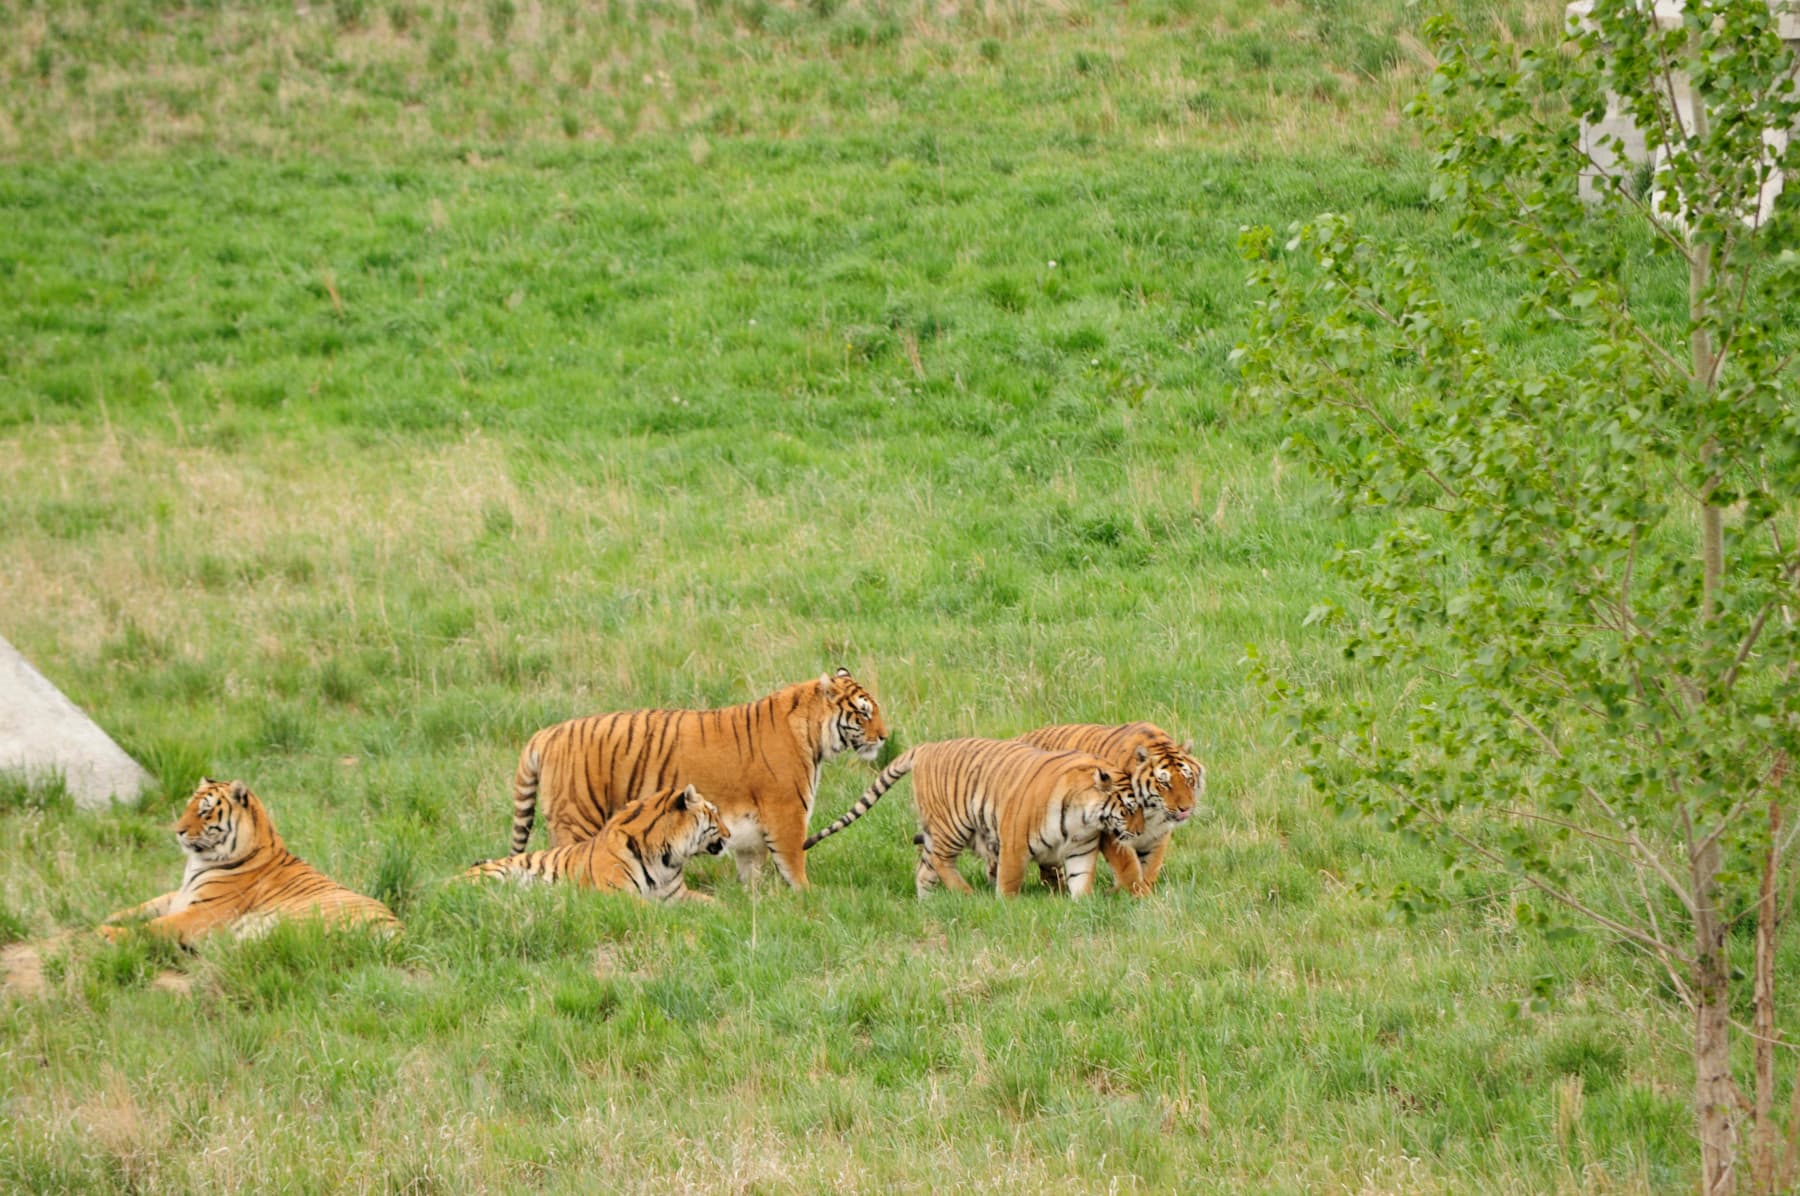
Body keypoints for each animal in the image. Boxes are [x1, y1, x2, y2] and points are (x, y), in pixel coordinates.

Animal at [97, 779, 399, 947]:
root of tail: (398, 930)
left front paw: (107, 932)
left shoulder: (202, 913)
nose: (177, 831)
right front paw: (111, 916)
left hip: (297, 918)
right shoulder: (178, 896)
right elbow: (147, 905)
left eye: (204, 811)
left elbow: (155, 925)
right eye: (187, 806)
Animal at [464, 784, 728, 903]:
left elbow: (715, 903)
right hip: (495, 874)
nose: (729, 834)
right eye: (714, 814)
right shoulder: (618, 895)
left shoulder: (677, 895)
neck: (667, 858)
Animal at [507, 667, 886, 891]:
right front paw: (807, 897)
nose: (885, 737)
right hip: (578, 820)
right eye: (864, 712)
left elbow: (752, 872)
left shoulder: (749, 834)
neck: (812, 736)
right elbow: (794, 866)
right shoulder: (786, 814)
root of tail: (546, 733)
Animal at [804, 738, 1139, 898]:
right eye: (1129, 809)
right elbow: (1009, 880)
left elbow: (1081, 880)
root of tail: (925, 747)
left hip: (937, 831)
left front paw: (1083, 903)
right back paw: (965, 893)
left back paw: (932, 903)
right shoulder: (1014, 842)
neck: (1082, 820)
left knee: (924, 869)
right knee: (940, 862)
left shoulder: (1081, 848)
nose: (1137, 833)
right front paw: (1007, 904)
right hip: (953, 826)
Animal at [1016, 722, 1204, 896]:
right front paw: (1136, 894)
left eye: (1188, 779)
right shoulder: (1112, 830)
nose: (1186, 809)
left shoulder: (1159, 833)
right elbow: (1128, 866)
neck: (1153, 812)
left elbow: (1151, 865)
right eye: (1164, 783)